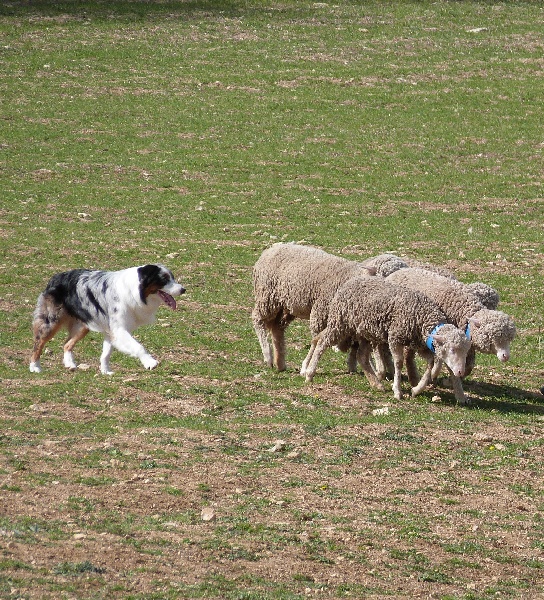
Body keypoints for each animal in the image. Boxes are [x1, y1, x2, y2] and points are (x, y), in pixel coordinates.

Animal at [300, 278, 470, 400]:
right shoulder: (395, 336)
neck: (422, 318)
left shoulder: (418, 344)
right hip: (341, 323)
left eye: (466, 351)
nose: (460, 372)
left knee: (361, 356)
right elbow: (398, 363)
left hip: (364, 332)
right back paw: (310, 372)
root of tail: (349, 282)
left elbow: (430, 364)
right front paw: (398, 391)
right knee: (322, 342)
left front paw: (416, 389)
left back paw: (376, 383)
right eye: (452, 350)